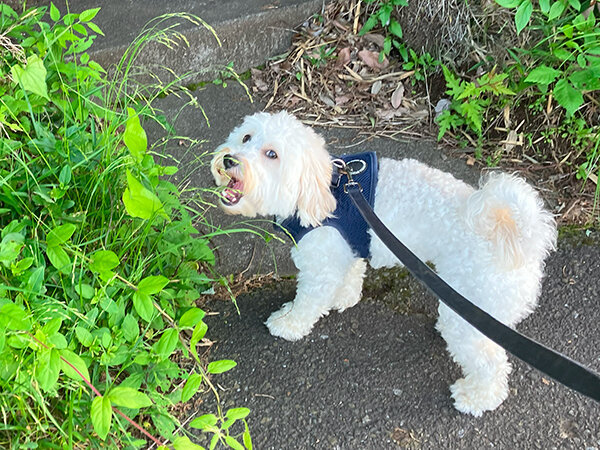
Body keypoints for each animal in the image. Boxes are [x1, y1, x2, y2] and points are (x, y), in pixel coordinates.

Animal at [212, 110, 556, 416]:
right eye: (246, 137)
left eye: (272, 154)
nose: (230, 160)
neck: (324, 192)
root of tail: (523, 238)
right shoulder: (348, 247)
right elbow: (349, 277)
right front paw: (343, 299)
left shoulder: (320, 264)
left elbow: (308, 300)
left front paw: (289, 323)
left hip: (474, 310)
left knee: (492, 363)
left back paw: (477, 398)